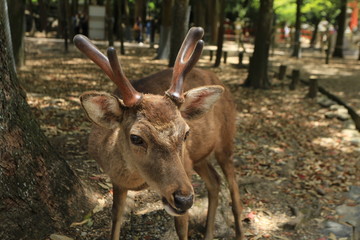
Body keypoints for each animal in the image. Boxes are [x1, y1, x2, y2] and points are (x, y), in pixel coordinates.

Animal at [73, 27, 242, 240]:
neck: (136, 180)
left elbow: (182, 230)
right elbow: (115, 219)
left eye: (186, 133)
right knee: (215, 181)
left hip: (225, 141)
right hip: (199, 157)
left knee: (233, 189)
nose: (184, 199)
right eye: (136, 137)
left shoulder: (185, 167)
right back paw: (209, 233)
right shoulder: (117, 182)